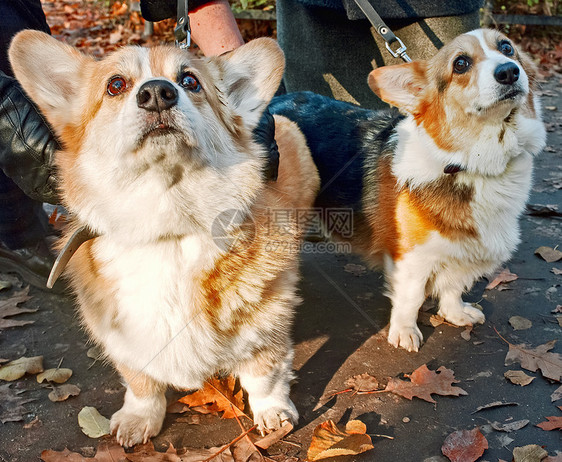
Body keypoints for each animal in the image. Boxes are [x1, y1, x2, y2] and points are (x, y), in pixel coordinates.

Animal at [8, 30, 318, 446]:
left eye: (190, 81)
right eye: (115, 85)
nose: (157, 93)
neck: (168, 225)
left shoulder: (265, 323)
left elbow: (263, 375)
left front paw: (273, 413)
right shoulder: (122, 337)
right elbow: (141, 382)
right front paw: (140, 417)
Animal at [270, 28, 544, 352]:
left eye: (507, 48)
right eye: (461, 64)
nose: (509, 71)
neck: (469, 161)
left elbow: (453, 286)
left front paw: (455, 313)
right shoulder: (411, 257)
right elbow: (411, 297)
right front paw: (403, 332)